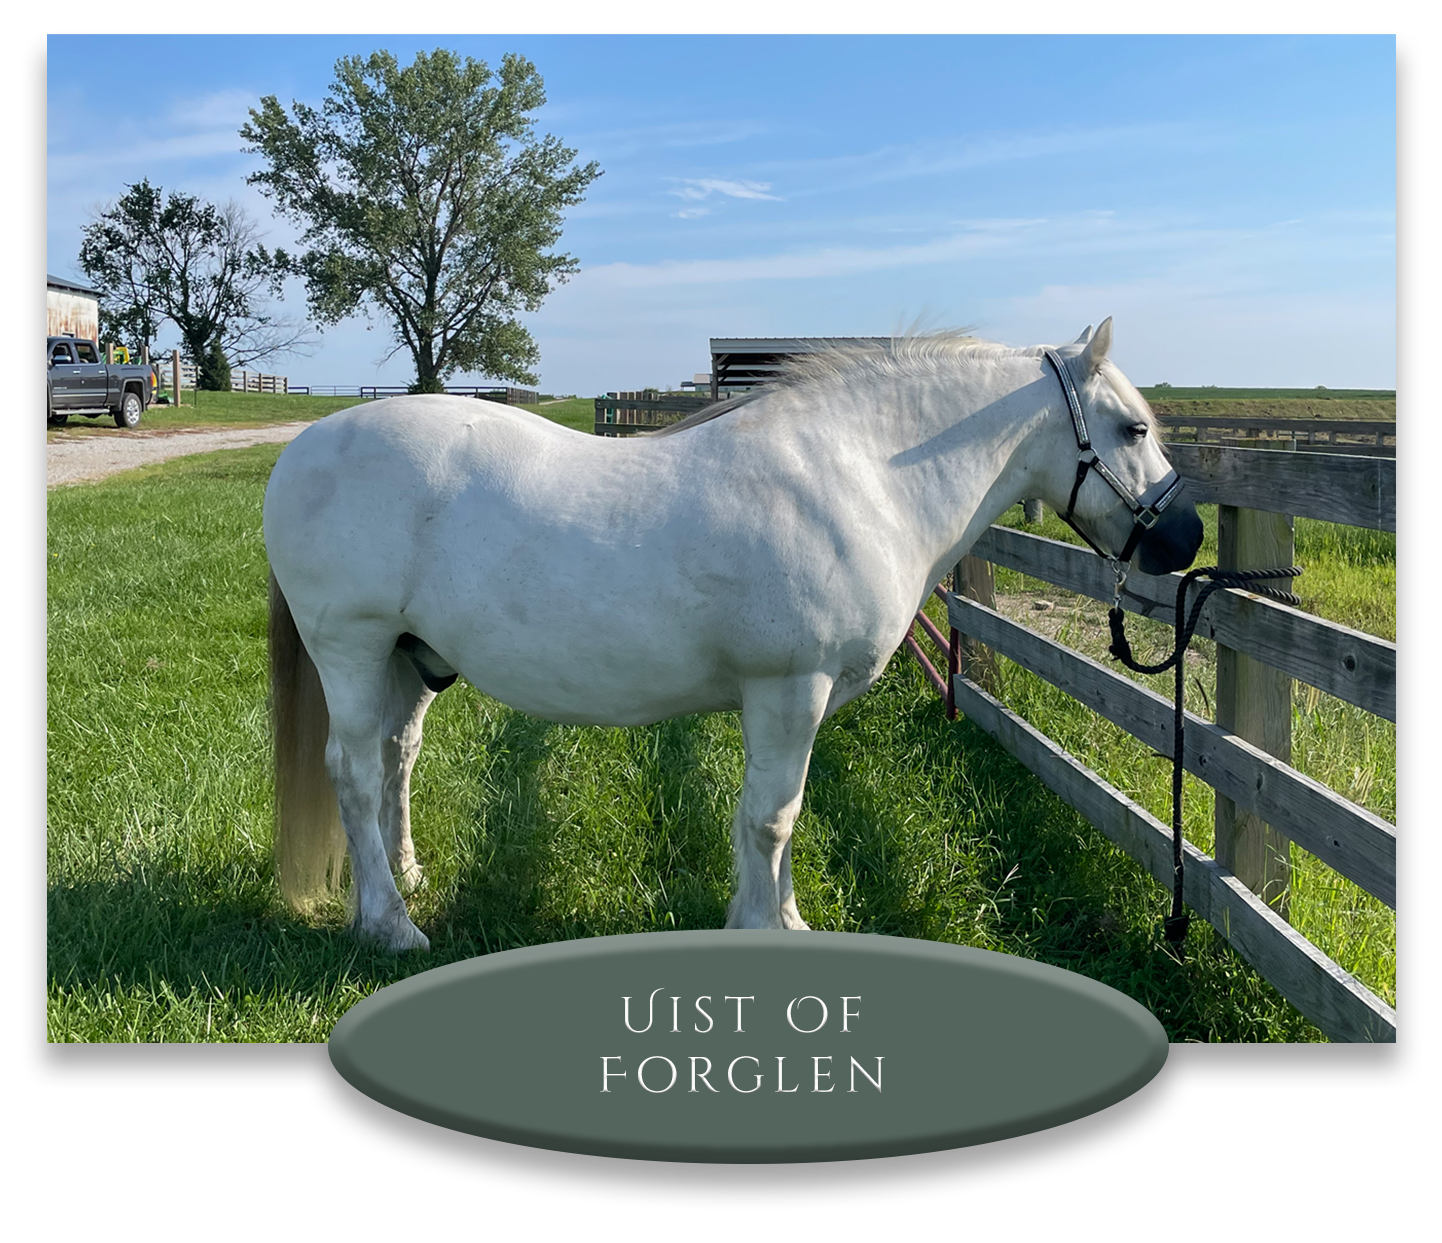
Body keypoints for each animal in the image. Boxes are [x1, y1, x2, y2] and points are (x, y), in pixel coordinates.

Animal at [264, 318, 1203, 952]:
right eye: (1133, 428)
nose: (1186, 538)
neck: (858, 474)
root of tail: (305, 447)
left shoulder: (794, 702)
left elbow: (779, 814)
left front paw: (782, 918)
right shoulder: (788, 690)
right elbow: (772, 818)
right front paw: (764, 927)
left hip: (407, 661)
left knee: (396, 757)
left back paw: (402, 878)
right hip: (352, 650)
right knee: (353, 772)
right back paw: (390, 925)